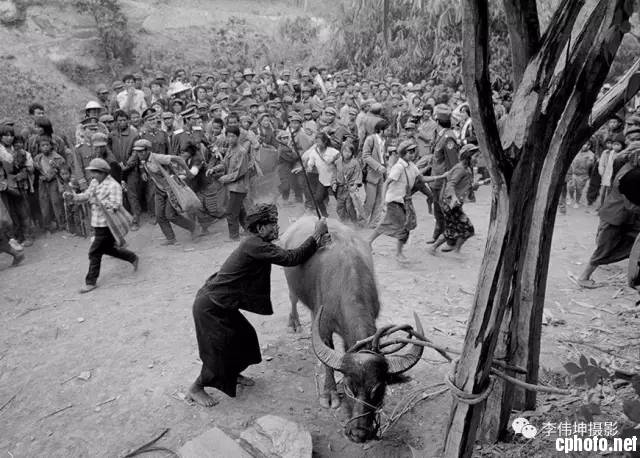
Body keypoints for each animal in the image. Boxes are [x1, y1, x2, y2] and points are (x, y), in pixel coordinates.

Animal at [280, 218, 424, 444]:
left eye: (378, 390)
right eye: (348, 387)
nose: (359, 433)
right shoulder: (324, 326)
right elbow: (327, 362)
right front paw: (329, 394)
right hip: (292, 287)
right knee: (292, 298)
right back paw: (294, 322)